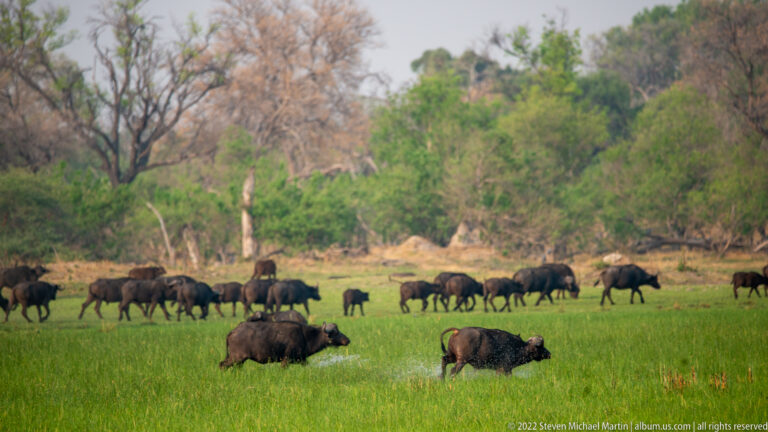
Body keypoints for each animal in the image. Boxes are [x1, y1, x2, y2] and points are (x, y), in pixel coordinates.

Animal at [219, 320, 350, 369]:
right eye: (335, 332)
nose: (347, 340)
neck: (305, 336)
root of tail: (232, 332)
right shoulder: (285, 360)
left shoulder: (302, 360)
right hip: (236, 358)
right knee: (222, 365)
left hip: (239, 361)